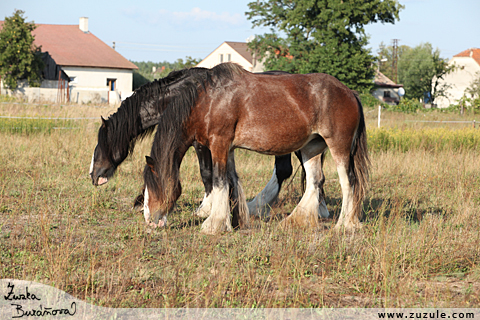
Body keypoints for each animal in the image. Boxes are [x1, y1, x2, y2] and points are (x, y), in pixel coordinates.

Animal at [88, 68, 326, 220]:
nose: (93, 174)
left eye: (103, 142)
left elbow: (207, 173)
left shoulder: (200, 143)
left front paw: (206, 208)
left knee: (292, 171)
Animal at [142, 62, 368, 234]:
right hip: (311, 148)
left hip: (338, 146)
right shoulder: (228, 148)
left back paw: (344, 225)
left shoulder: (218, 144)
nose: (150, 220)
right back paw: (296, 220)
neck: (209, 101)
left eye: (152, 184)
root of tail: (350, 93)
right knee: (315, 181)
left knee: (348, 182)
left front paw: (213, 225)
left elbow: (219, 181)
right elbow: (231, 181)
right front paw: (234, 221)